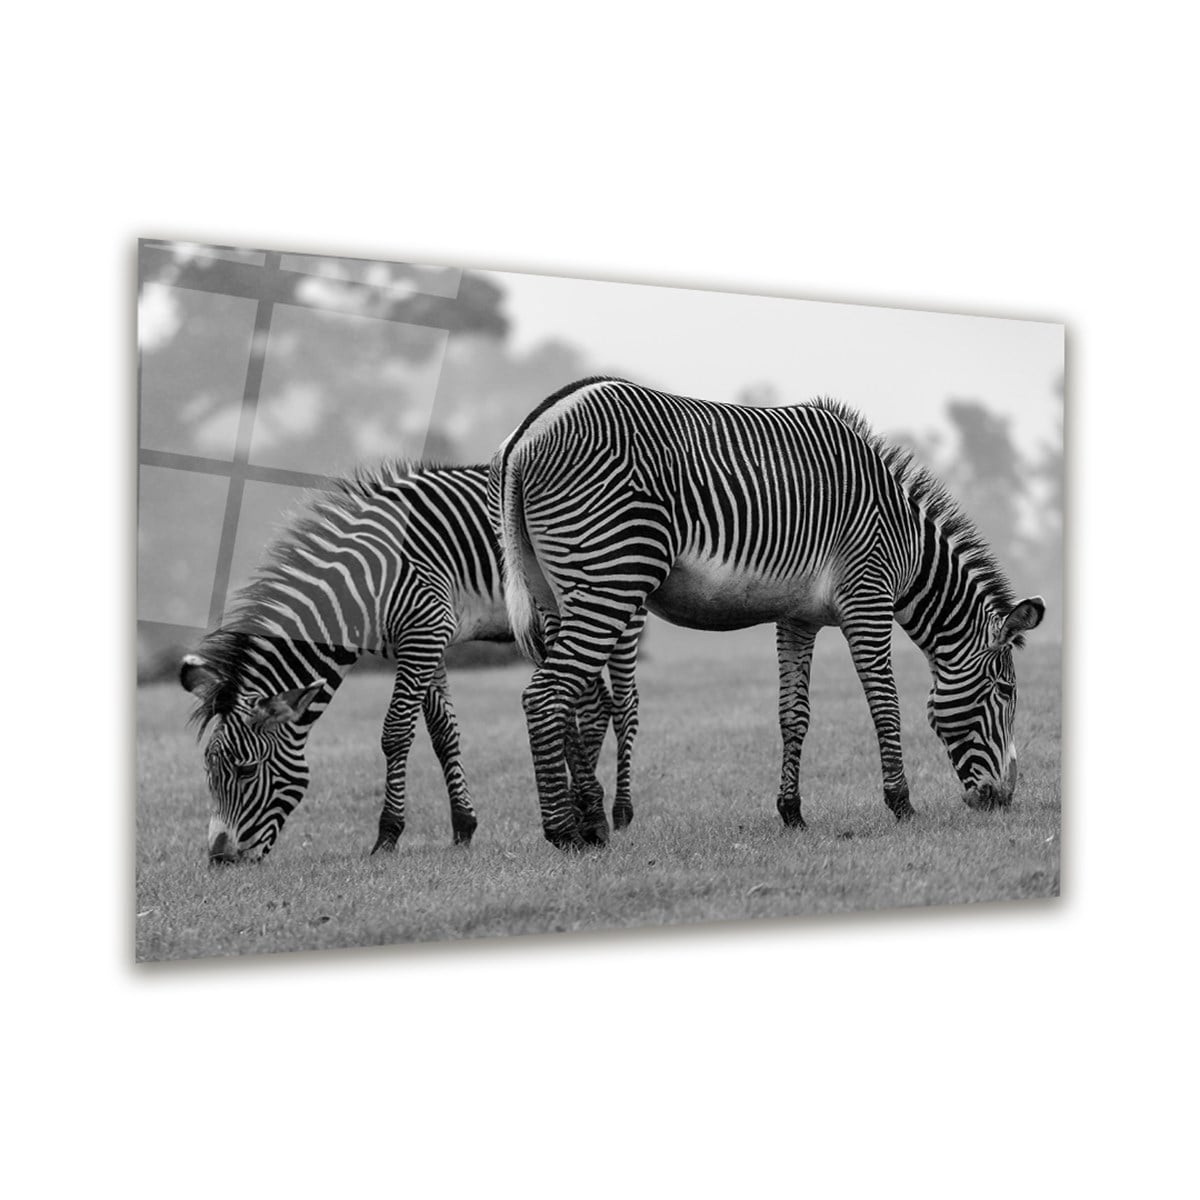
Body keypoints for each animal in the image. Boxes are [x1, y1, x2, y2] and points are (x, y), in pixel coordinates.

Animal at [180, 461, 641, 863]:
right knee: (593, 704)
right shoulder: (422, 643)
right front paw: (464, 827)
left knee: (625, 704)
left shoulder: (425, 634)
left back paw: (620, 812)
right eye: (208, 771)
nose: (219, 860)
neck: (367, 585)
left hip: (618, 602)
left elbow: (396, 734)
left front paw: (387, 835)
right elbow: (443, 734)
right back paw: (588, 805)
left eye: (245, 771)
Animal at [493, 377, 1045, 846]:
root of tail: (529, 429)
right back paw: (565, 833)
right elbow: (885, 705)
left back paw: (591, 823)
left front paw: (792, 812)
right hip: (612, 576)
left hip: (555, 593)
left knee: (576, 699)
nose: (1003, 800)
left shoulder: (798, 617)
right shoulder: (867, 599)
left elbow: (793, 715)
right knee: (546, 695)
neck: (905, 541)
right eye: (1006, 691)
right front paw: (902, 805)